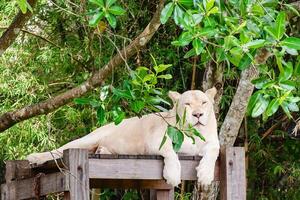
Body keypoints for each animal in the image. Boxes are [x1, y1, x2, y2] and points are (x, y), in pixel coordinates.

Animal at [27, 88, 220, 187]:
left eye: (204, 102)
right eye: (187, 104)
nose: (198, 115)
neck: (194, 133)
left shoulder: (213, 142)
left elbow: (213, 152)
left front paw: (205, 175)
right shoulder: (156, 140)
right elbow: (171, 153)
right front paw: (172, 176)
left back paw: (103, 151)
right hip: (87, 139)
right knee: (60, 150)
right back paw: (34, 157)